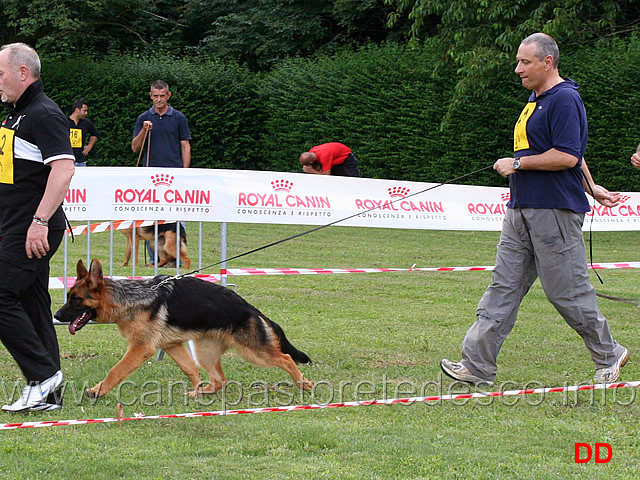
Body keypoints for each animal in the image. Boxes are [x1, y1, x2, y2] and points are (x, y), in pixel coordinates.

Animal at [53, 258, 314, 398]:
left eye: (75, 300)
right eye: (68, 297)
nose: (56, 315)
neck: (130, 298)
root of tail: (251, 309)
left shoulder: (141, 349)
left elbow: (116, 371)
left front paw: (97, 391)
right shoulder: (172, 345)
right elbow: (190, 370)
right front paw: (196, 391)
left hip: (254, 352)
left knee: (285, 359)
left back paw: (304, 384)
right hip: (205, 351)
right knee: (219, 380)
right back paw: (201, 393)